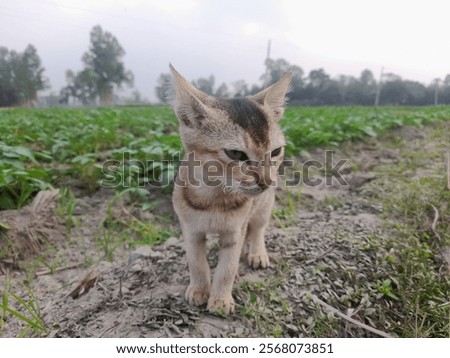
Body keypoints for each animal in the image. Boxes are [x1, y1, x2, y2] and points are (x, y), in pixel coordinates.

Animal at [169, 64, 292, 314]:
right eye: (235, 154)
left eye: (275, 152)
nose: (266, 181)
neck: (215, 199)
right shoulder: (190, 230)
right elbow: (196, 263)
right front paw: (199, 289)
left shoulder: (235, 231)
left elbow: (228, 267)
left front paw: (220, 299)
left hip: (264, 207)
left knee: (257, 229)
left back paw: (257, 253)